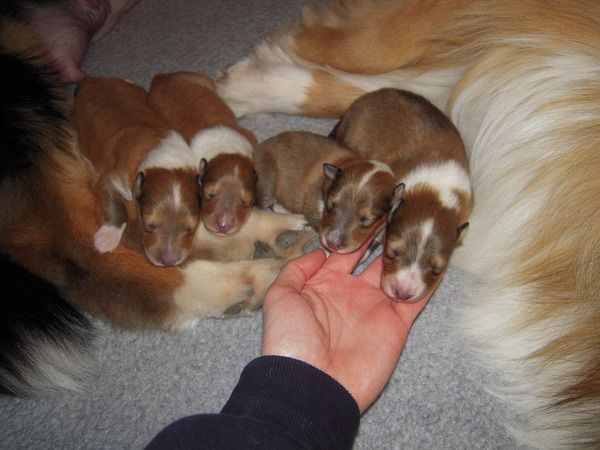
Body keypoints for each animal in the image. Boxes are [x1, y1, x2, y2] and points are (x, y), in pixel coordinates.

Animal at [74, 76, 202, 266]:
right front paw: (106, 238)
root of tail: (89, 79)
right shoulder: (112, 178)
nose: (169, 261)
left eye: (190, 228)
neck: (168, 162)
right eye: (149, 226)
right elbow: (118, 207)